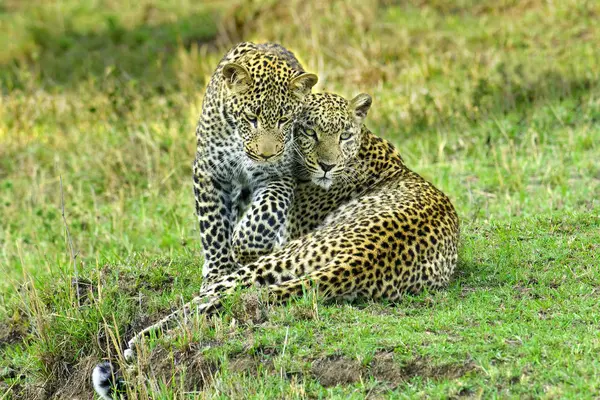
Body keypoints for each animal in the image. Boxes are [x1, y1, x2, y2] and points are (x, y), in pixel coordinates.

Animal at [119, 92, 462, 368]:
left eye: (344, 135)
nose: (327, 166)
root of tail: (359, 259)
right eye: (311, 132)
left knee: (206, 300)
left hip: (276, 260)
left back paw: (142, 340)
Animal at [193, 42, 318, 286]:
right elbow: (214, 226)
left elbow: (265, 212)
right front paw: (218, 271)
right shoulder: (209, 172)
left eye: (284, 120)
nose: (266, 155)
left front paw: (244, 248)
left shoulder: (279, 176)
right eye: (251, 118)